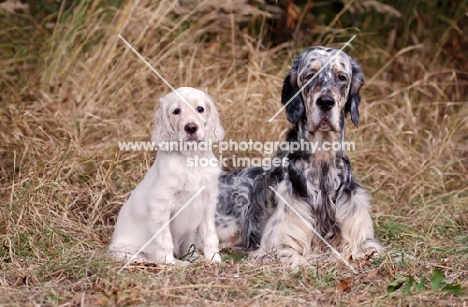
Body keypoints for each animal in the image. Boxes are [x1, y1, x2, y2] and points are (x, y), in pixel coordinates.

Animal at [110, 86, 226, 264]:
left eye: (200, 109)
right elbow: (165, 240)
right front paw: (170, 263)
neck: (190, 158)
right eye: (176, 111)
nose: (191, 127)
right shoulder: (160, 205)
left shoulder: (208, 201)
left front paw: (214, 259)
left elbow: (210, 235)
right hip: (121, 249)